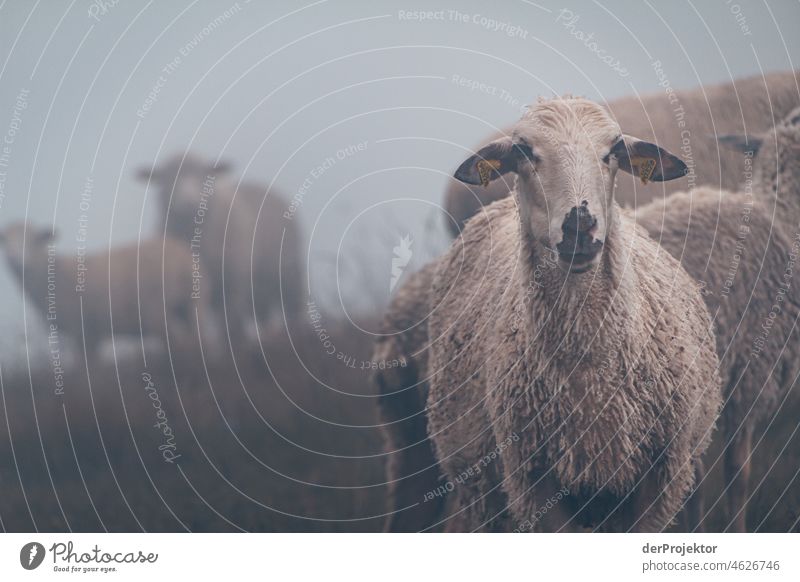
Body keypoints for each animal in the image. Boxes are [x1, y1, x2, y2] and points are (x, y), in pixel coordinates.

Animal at [0, 224, 203, 360]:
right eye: (6, 241)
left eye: (31, 240)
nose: (15, 257)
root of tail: (182, 259)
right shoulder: (93, 333)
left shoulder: (81, 330)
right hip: (189, 306)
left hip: (156, 312)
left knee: (180, 344)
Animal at [138, 156, 304, 346]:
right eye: (167, 177)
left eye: (204, 174)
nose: (188, 201)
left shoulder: (233, 285)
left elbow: (230, 325)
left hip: (288, 274)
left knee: (293, 307)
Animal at [418, 97, 720, 532]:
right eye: (523, 151)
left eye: (613, 151)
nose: (580, 225)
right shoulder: (534, 481)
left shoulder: (659, 480)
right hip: (479, 491)